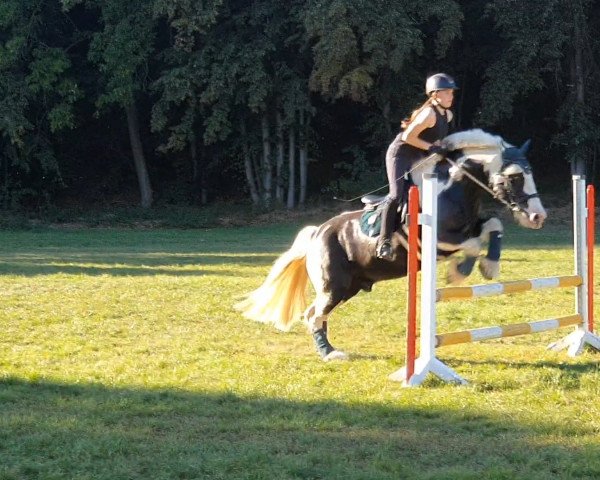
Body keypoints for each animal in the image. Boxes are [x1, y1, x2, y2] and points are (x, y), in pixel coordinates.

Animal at [236, 127, 548, 360]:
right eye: (515, 177)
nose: (538, 217)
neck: (452, 191)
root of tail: (318, 233)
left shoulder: (471, 227)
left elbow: (493, 226)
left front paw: (489, 266)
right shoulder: (439, 240)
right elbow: (471, 245)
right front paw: (460, 272)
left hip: (349, 287)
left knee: (314, 314)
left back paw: (329, 350)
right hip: (333, 286)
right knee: (313, 314)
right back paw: (330, 354)